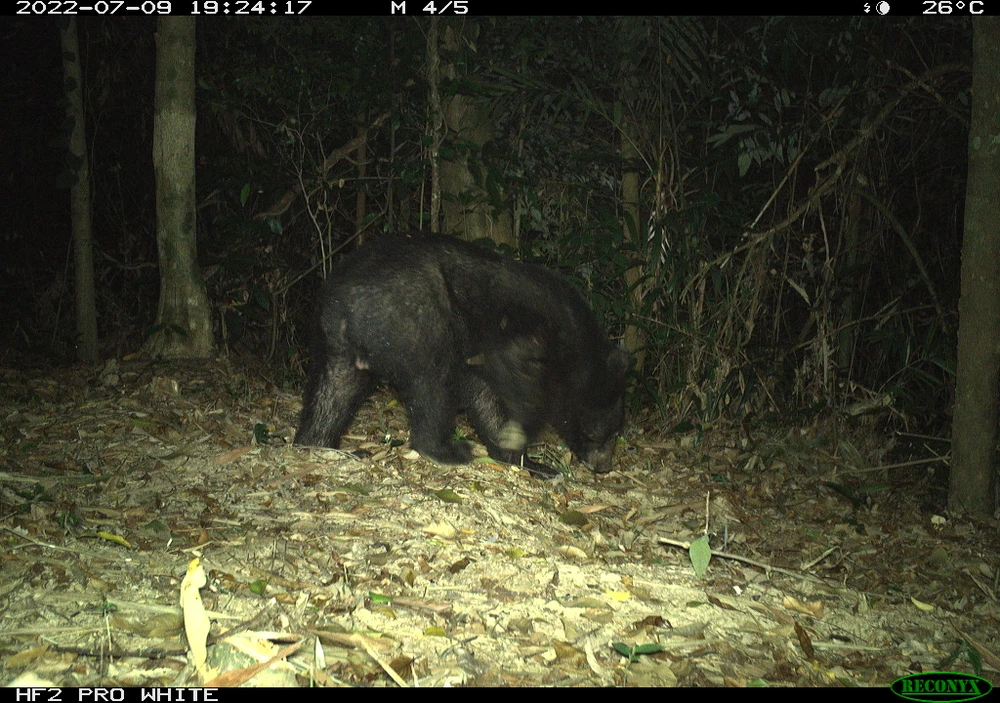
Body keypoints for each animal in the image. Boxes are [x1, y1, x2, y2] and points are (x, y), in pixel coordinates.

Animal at [292, 234, 632, 482]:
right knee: (431, 382)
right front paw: (520, 436)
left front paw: (531, 462)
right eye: (602, 433)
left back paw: (322, 444)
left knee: (336, 389)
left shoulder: (478, 356)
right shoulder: (529, 334)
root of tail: (346, 303)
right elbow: (514, 386)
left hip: (336, 343)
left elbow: (483, 396)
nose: (604, 466)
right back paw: (445, 450)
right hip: (417, 317)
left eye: (616, 432)